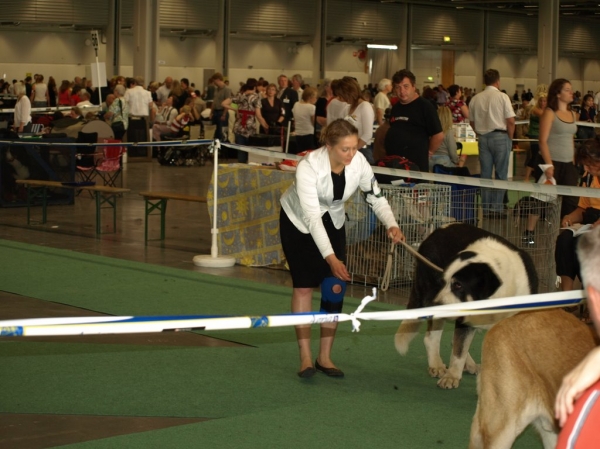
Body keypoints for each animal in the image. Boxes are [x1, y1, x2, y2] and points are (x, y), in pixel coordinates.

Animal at [394, 222, 540, 386]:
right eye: (443, 282)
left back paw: (469, 364)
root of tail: (433, 233)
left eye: (458, 285)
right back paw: (437, 365)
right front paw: (452, 376)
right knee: (432, 338)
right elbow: (459, 350)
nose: (435, 303)